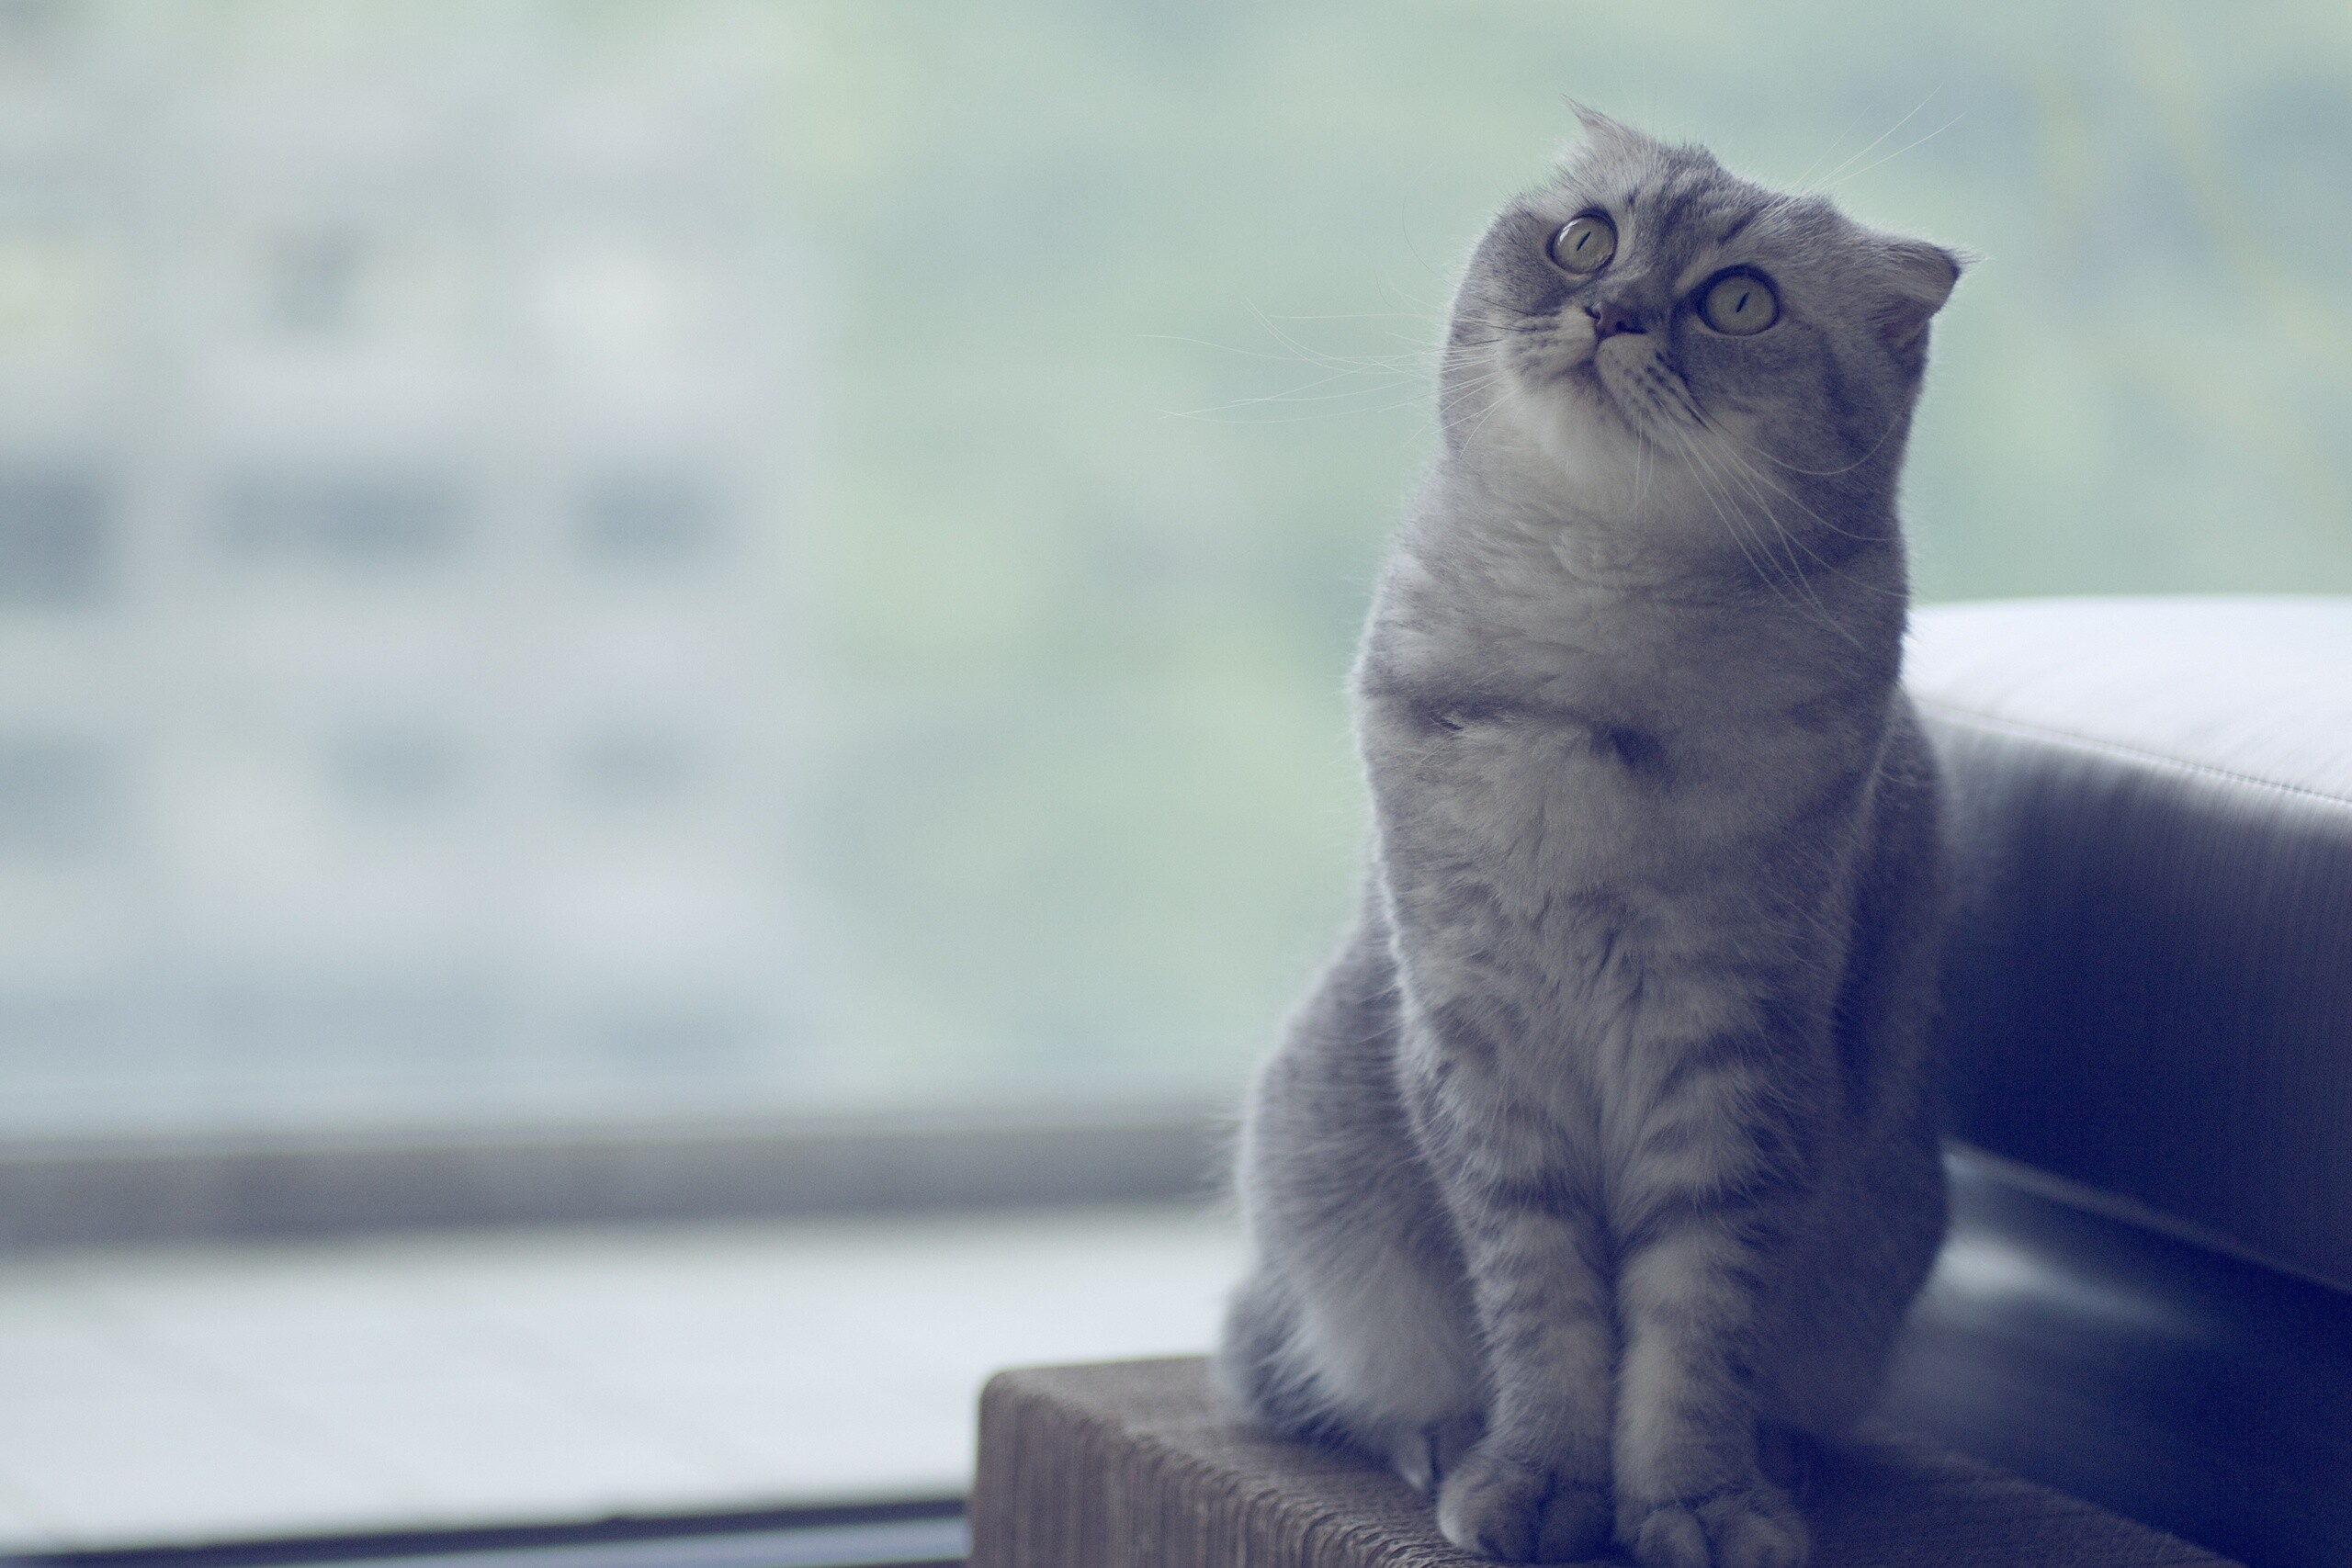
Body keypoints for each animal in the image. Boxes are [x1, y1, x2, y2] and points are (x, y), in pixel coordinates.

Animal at [1223, 113, 1956, 1568]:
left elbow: (1690, 1330)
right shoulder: (1484, 1049)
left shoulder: (1733, 1054)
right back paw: (1438, 1437)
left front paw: (1693, 1499)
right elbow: (1544, 1311)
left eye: (1739, 300)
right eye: (1585, 238)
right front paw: (1537, 1479)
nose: (1611, 310)